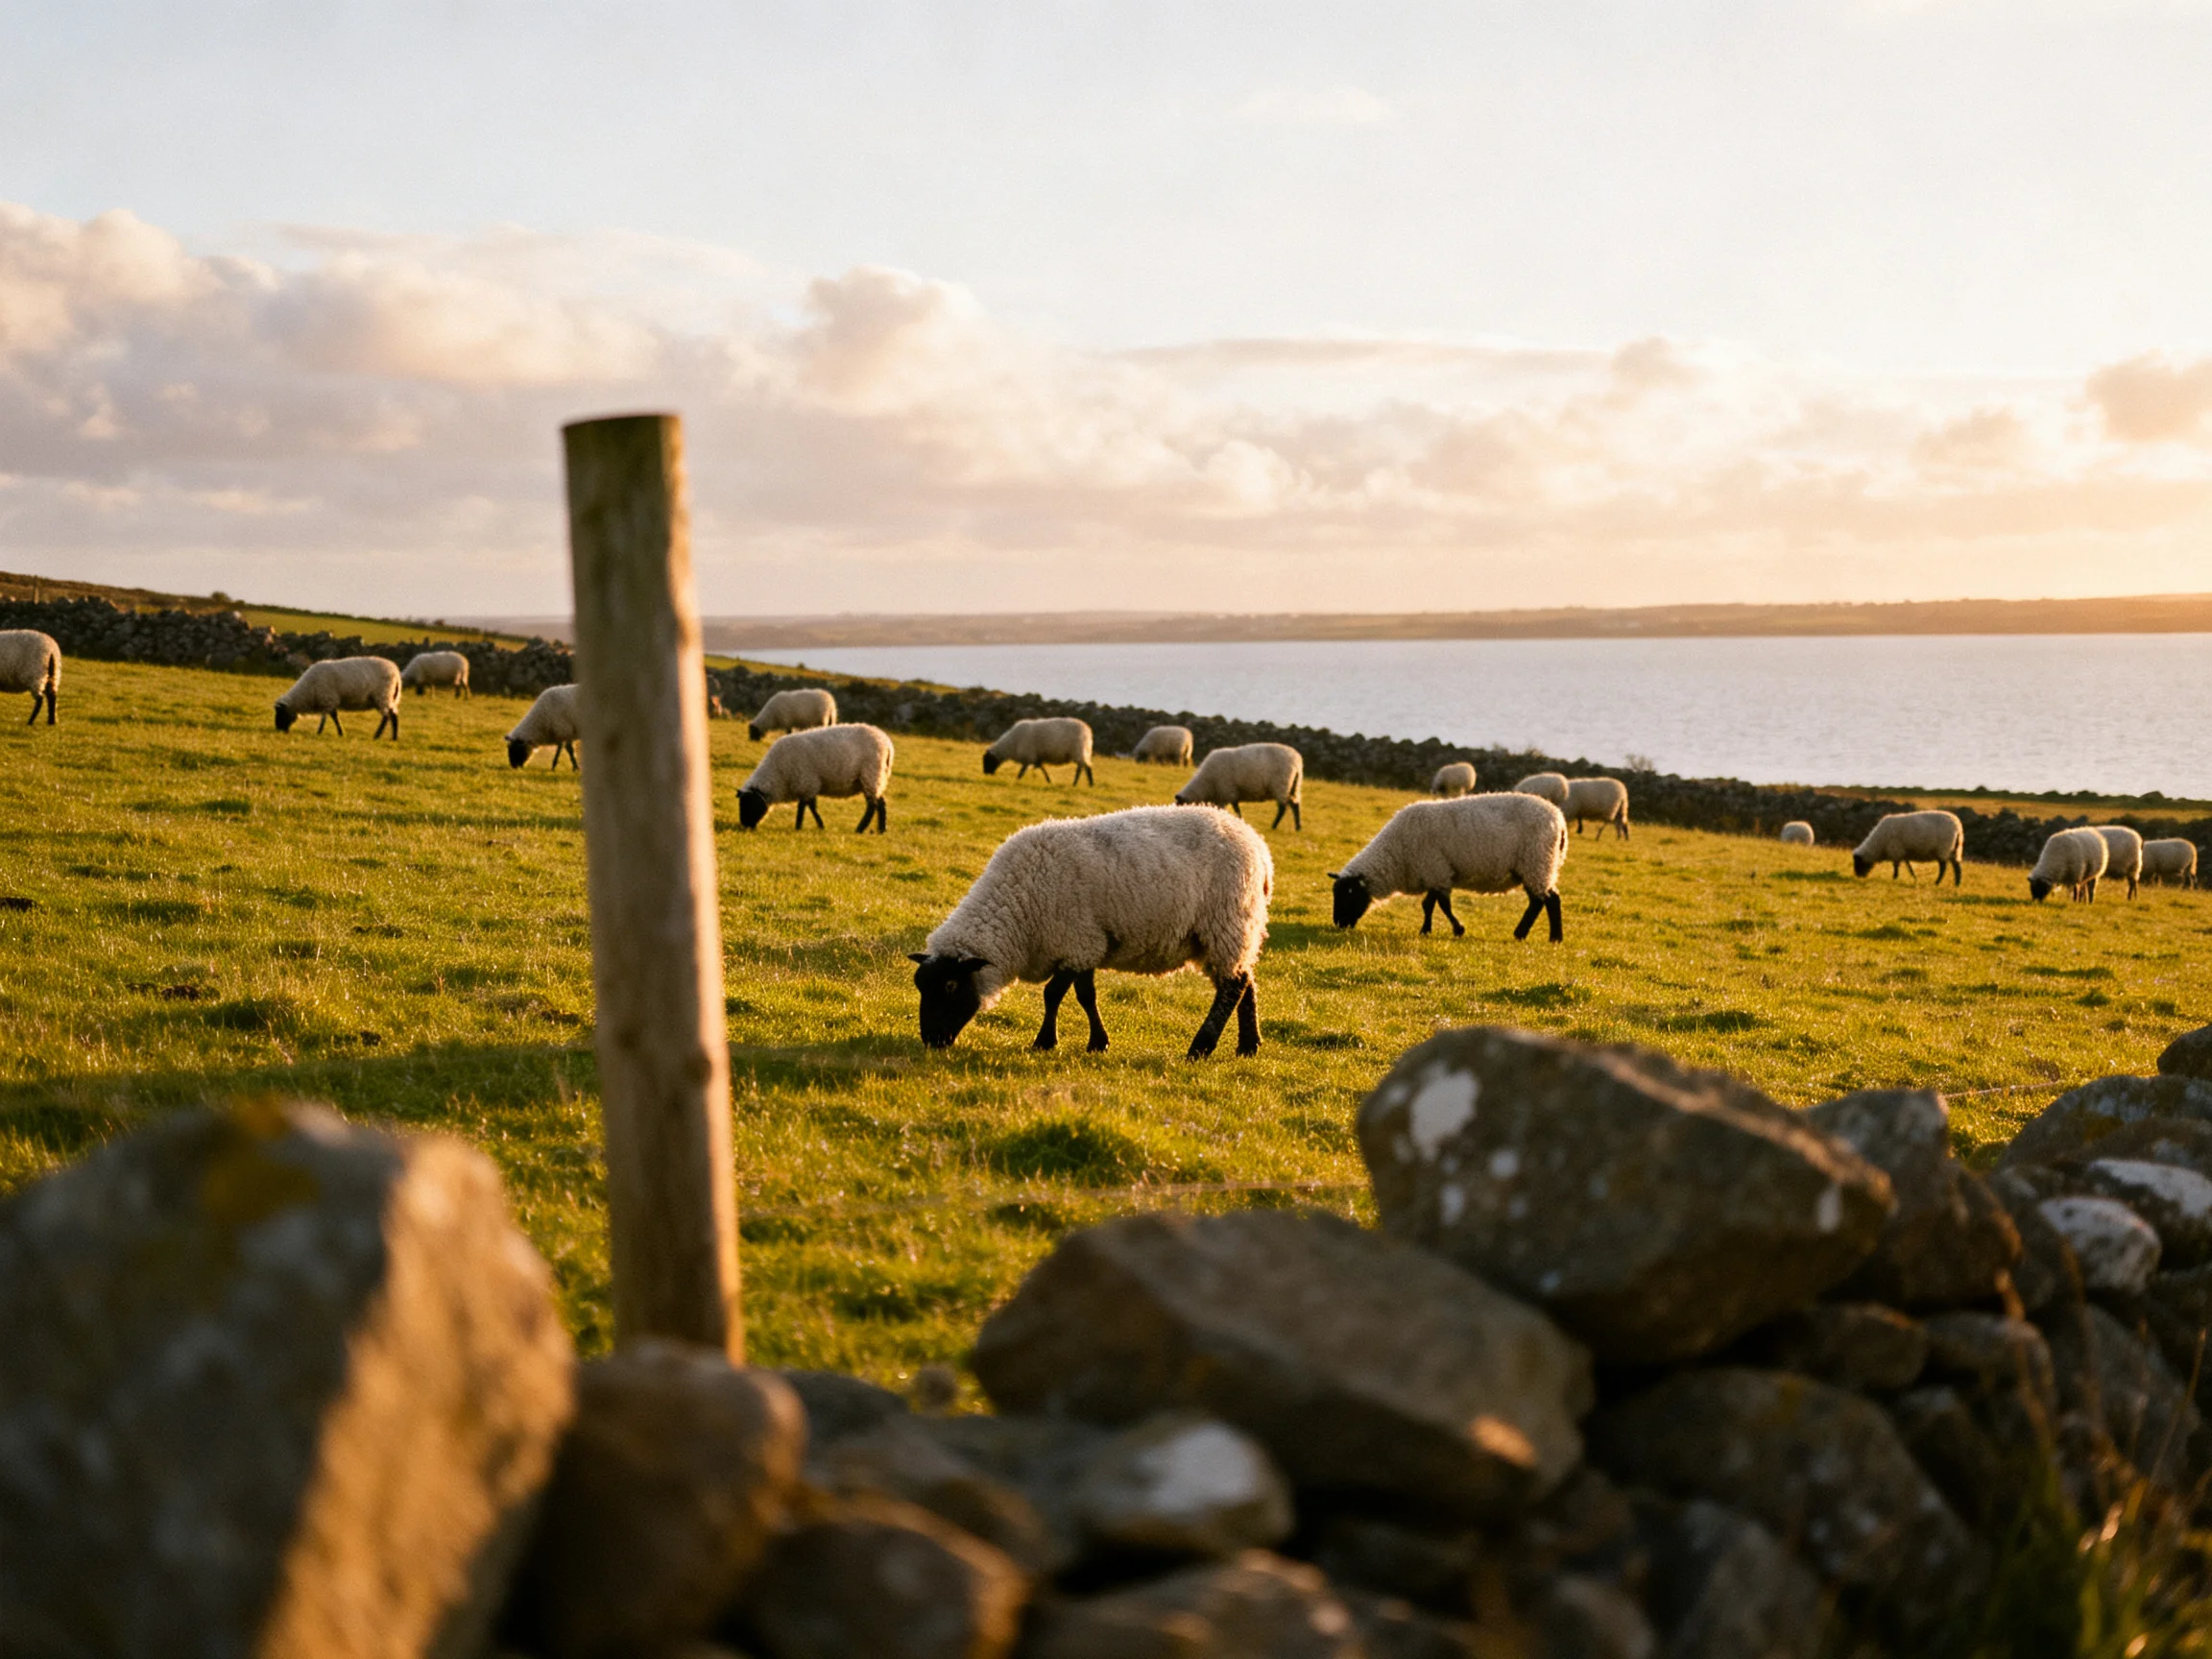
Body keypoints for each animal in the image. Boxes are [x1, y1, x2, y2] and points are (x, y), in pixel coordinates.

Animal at [274, 657, 403, 739]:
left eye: (280, 713)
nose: (278, 730)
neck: (308, 691)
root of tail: (396, 673)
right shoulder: (327, 700)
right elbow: (330, 716)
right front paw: (336, 732)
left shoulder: (328, 698)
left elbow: (330, 717)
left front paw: (322, 731)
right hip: (388, 697)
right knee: (394, 715)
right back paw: (394, 737)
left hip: (383, 695)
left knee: (386, 716)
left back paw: (377, 735)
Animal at [737, 723, 895, 833]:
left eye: (751, 805)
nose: (745, 826)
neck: (778, 774)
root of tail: (886, 743)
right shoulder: (806, 786)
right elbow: (808, 805)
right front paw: (812, 825)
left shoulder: (806, 782)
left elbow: (807, 806)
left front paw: (804, 826)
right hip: (876, 778)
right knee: (881, 802)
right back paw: (882, 829)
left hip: (871, 774)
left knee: (872, 805)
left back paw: (860, 829)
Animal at [911, 805, 1272, 1060]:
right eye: (921, 987)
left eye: (951, 985)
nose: (931, 1041)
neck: (1019, 909)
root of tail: (1257, 843)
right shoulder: (1085, 945)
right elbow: (1085, 995)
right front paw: (1097, 1042)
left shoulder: (1077, 942)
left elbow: (1054, 994)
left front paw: (1046, 1042)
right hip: (1231, 930)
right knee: (1244, 980)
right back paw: (1248, 1046)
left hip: (1226, 921)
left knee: (1232, 986)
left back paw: (1201, 1047)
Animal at [1173, 743, 1304, 831]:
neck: (1205, 784)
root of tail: (1297, 760)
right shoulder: (1230, 795)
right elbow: (1236, 809)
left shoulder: (1226, 793)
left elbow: (1234, 810)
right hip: (1294, 786)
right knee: (1295, 805)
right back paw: (1298, 827)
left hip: (1281, 785)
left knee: (1282, 808)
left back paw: (1274, 825)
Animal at [1330, 791, 1568, 943]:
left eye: (1349, 895)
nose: (1339, 924)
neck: (1397, 854)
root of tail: (1559, 820)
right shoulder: (1434, 873)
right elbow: (1429, 905)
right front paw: (1426, 930)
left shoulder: (1437, 870)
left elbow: (1442, 905)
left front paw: (1457, 929)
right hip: (1537, 866)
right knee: (1541, 900)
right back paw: (1531, 935)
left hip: (1537, 860)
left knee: (1548, 899)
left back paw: (1546, 937)